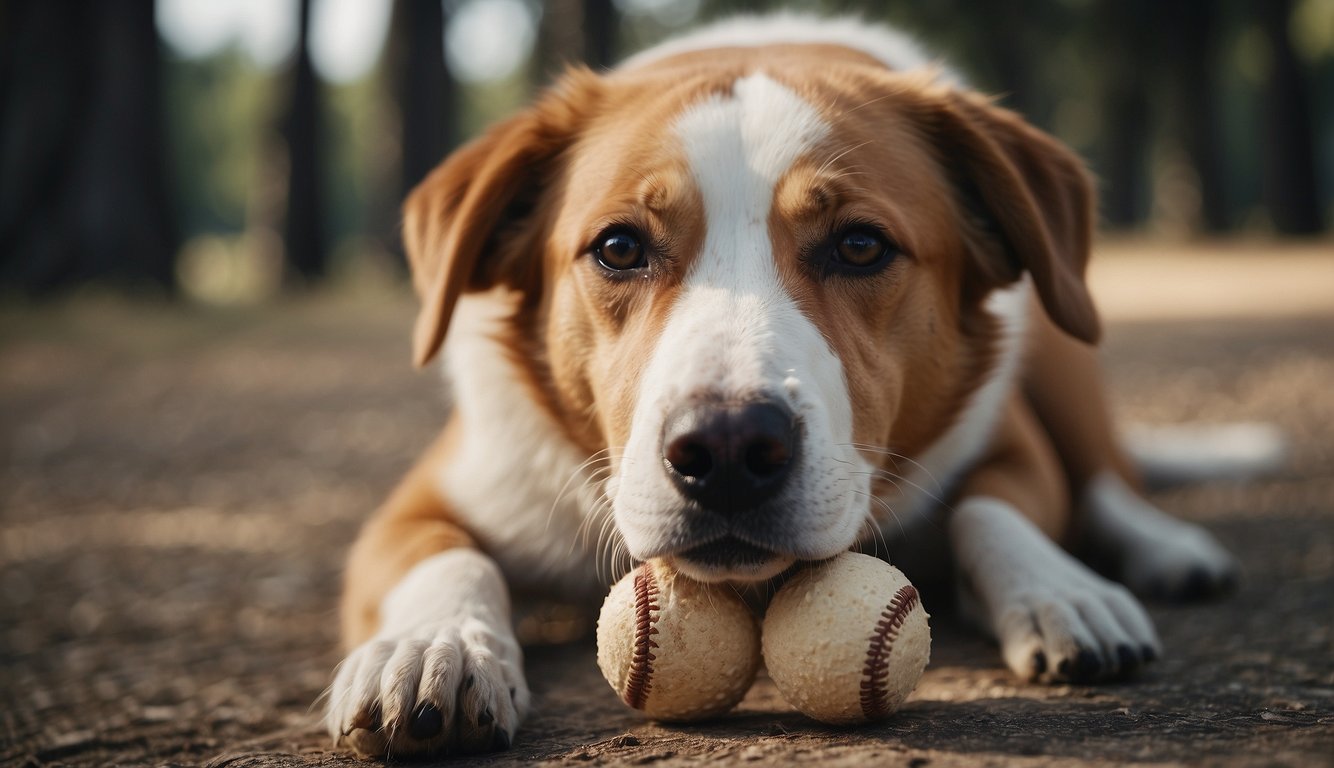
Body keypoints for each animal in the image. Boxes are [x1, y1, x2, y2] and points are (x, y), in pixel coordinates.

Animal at [322, 15, 1237, 757]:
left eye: (861, 245)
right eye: (618, 247)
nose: (727, 451)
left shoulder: (1009, 439)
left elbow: (990, 507)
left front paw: (1056, 588)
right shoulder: (442, 489)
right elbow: (439, 554)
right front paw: (434, 647)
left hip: (1061, 347)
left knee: (1107, 477)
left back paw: (1160, 551)